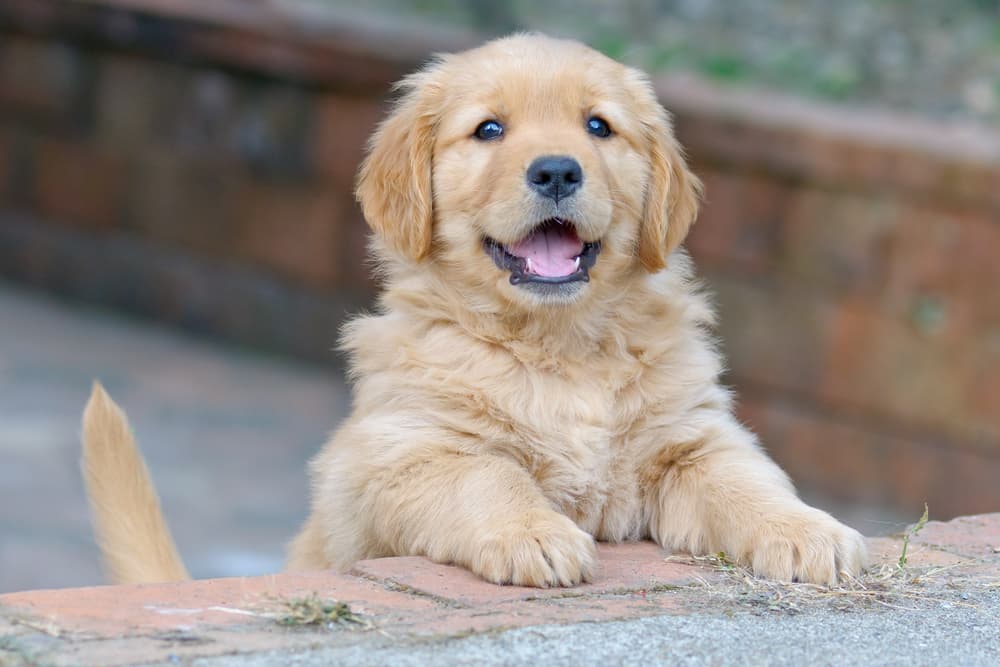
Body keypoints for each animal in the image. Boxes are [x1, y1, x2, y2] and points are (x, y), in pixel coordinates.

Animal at [84, 34, 868, 588]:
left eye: (599, 127)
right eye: (489, 130)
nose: (557, 170)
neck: (558, 347)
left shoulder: (692, 439)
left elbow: (746, 480)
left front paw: (809, 531)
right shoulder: (411, 452)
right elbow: (489, 477)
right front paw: (533, 534)